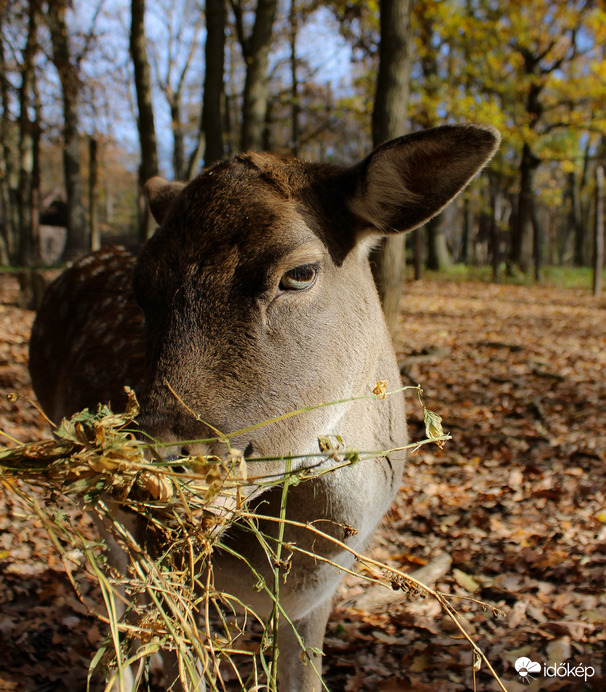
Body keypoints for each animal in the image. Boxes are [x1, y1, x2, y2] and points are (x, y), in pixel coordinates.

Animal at [28, 121, 502, 688]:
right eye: (141, 289)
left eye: (301, 271)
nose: (156, 466)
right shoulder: (166, 562)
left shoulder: (318, 600)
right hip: (108, 521)